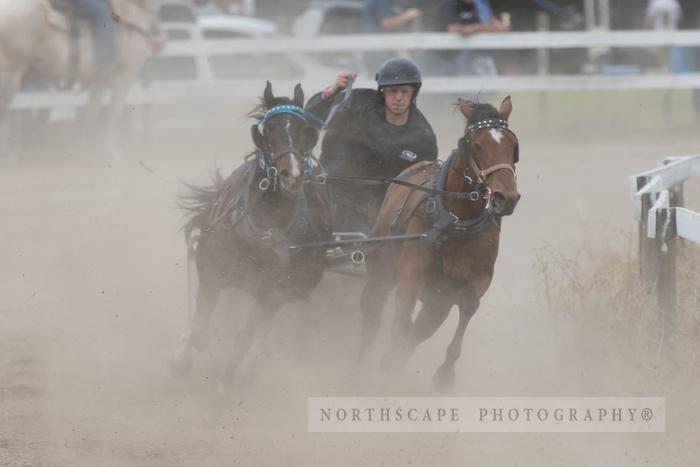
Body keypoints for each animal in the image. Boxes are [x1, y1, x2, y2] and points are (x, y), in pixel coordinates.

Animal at [0, 0, 161, 161]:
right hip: (10, 74)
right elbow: (113, 113)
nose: (158, 40)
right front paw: (111, 152)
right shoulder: (125, 75)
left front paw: (87, 149)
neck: (131, 10)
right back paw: (9, 156)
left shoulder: (101, 81)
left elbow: (91, 113)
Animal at [171, 82, 332, 390]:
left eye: (306, 130)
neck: (263, 231)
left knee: (259, 333)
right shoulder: (212, 269)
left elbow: (245, 338)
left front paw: (225, 383)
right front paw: (183, 356)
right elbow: (200, 324)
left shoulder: (270, 291)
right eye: (269, 128)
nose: (292, 175)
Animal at [360, 97, 520, 394]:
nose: (507, 198)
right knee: (373, 317)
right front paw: (387, 363)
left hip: (437, 303)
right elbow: (401, 323)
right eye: (476, 145)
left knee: (418, 331)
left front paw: (445, 373)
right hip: (380, 273)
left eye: (513, 146)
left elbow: (467, 308)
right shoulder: (411, 273)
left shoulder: (475, 281)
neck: (456, 222)